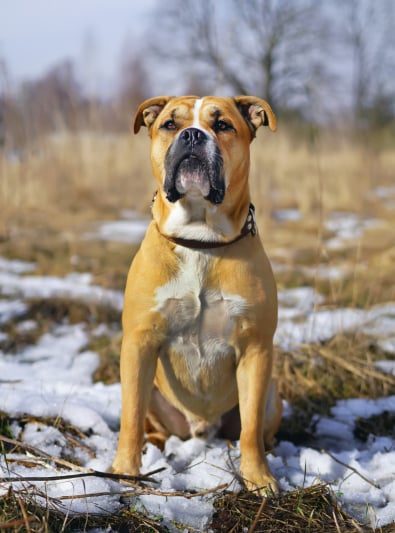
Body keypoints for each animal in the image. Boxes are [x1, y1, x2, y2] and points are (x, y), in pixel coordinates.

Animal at [113, 95, 284, 494]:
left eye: (222, 125)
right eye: (169, 124)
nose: (192, 135)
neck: (200, 239)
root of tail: (201, 430)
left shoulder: (255, 348)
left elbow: (250, 427)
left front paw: (259, 478)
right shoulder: (139, 343)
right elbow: (130, 416)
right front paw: (124, 470)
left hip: (274, 391)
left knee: (258, 428)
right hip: (154, 392)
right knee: (148, 421)